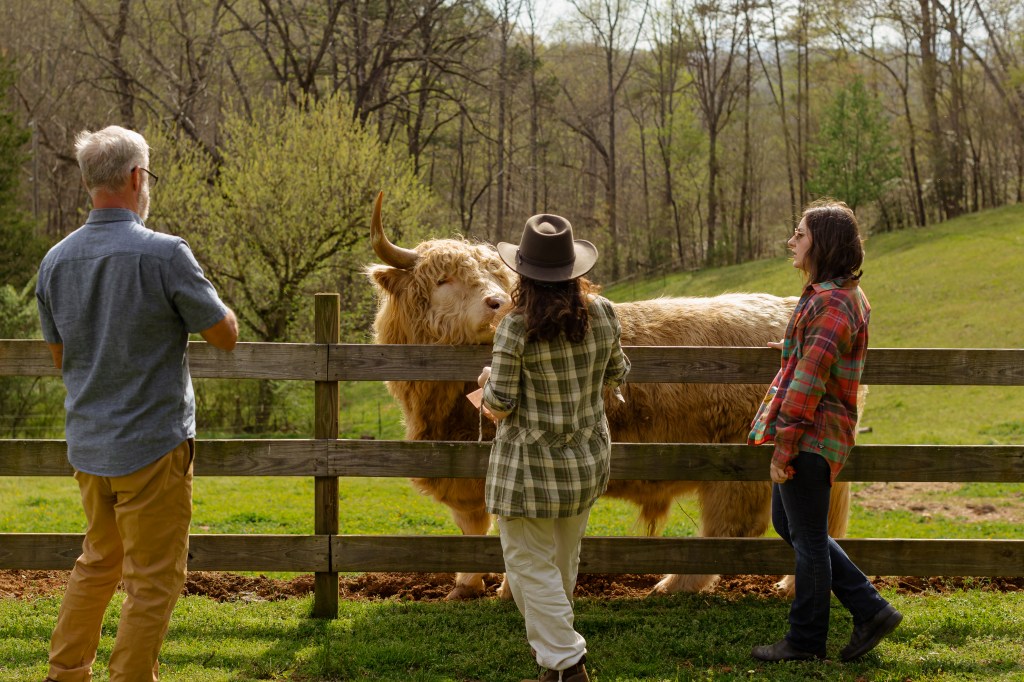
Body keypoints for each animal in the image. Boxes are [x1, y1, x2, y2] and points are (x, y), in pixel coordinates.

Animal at [365, 192, 852, 600]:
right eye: (443, 279)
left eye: (495, 275)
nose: (498, 303)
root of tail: (787, 308)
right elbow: (471, 525)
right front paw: (466, 584)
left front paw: (503, 589)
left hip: (738, 466)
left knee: (732, 527)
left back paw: (675, 584)